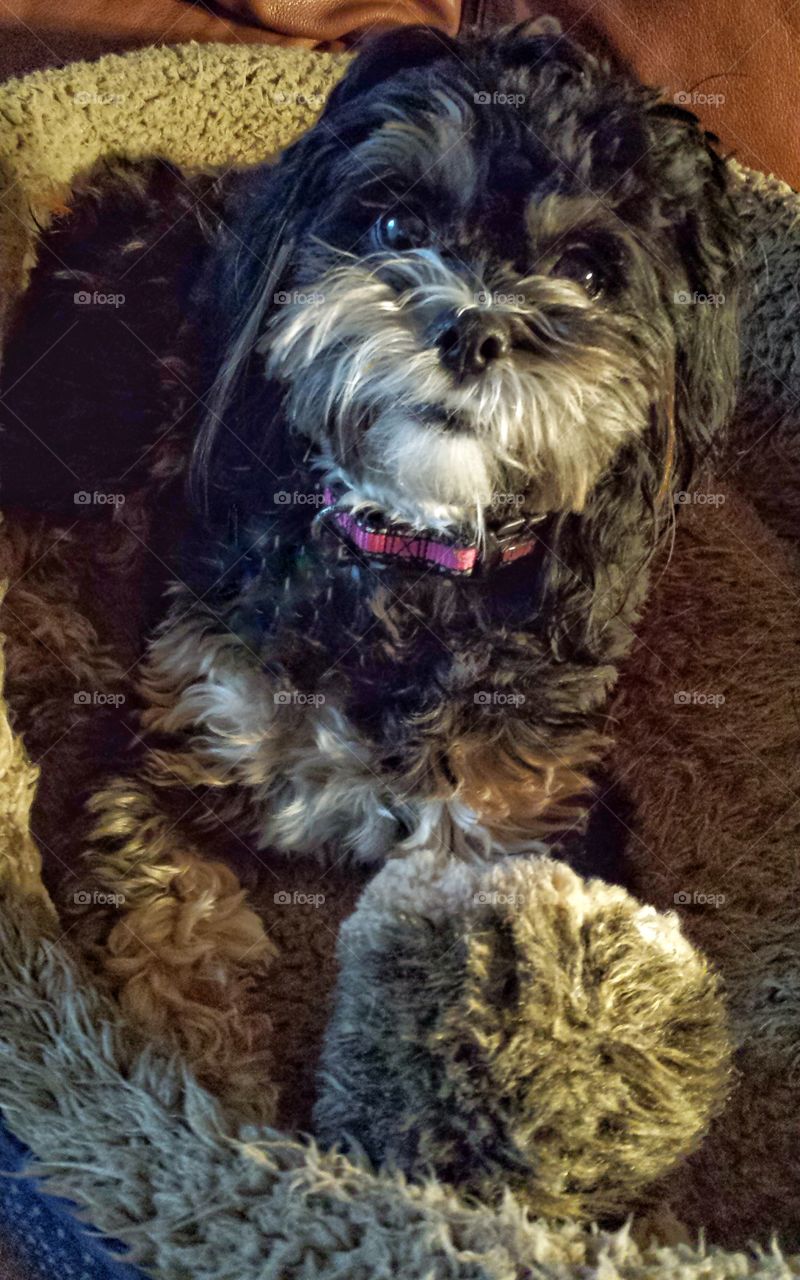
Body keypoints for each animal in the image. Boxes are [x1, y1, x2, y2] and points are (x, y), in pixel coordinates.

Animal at [0, 22, 737, 1121]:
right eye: (395, 221)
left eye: (587, 269)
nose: (473, 329)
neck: (403, 558)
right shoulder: (169, 730)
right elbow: (170, 918)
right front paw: (209, 1098)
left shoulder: (527, 815)